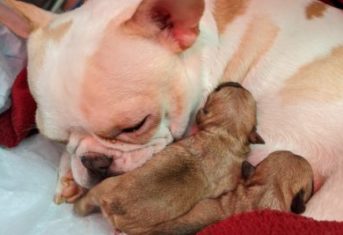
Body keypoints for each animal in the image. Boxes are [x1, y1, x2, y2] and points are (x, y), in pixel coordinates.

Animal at [74, 81, 264, 233]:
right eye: (218, 89)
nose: (236, 83)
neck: (225, 132)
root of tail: (114, 204)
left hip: (104, 187)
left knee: (86, 202)